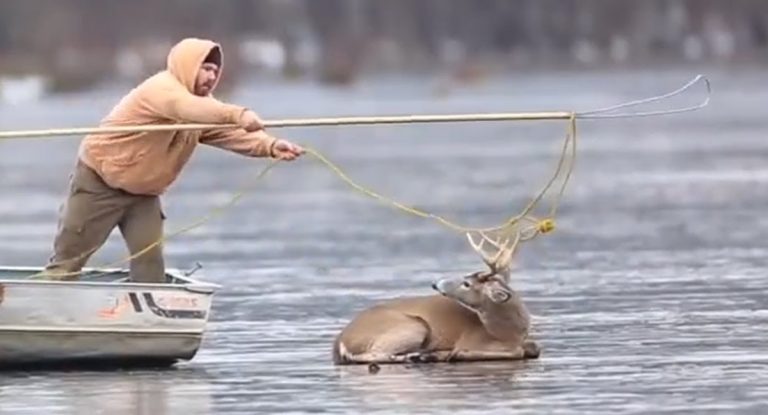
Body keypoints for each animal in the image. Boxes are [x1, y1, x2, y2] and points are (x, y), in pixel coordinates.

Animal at [332, 230, 540, 366]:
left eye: (467, 283)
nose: (435, 283)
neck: (506, 332)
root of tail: (340, 341)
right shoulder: (472, 339)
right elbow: (519, 351)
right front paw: (450, 354)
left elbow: (533, 348)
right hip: (412, 326)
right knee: (368, 355)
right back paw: (416, 356)